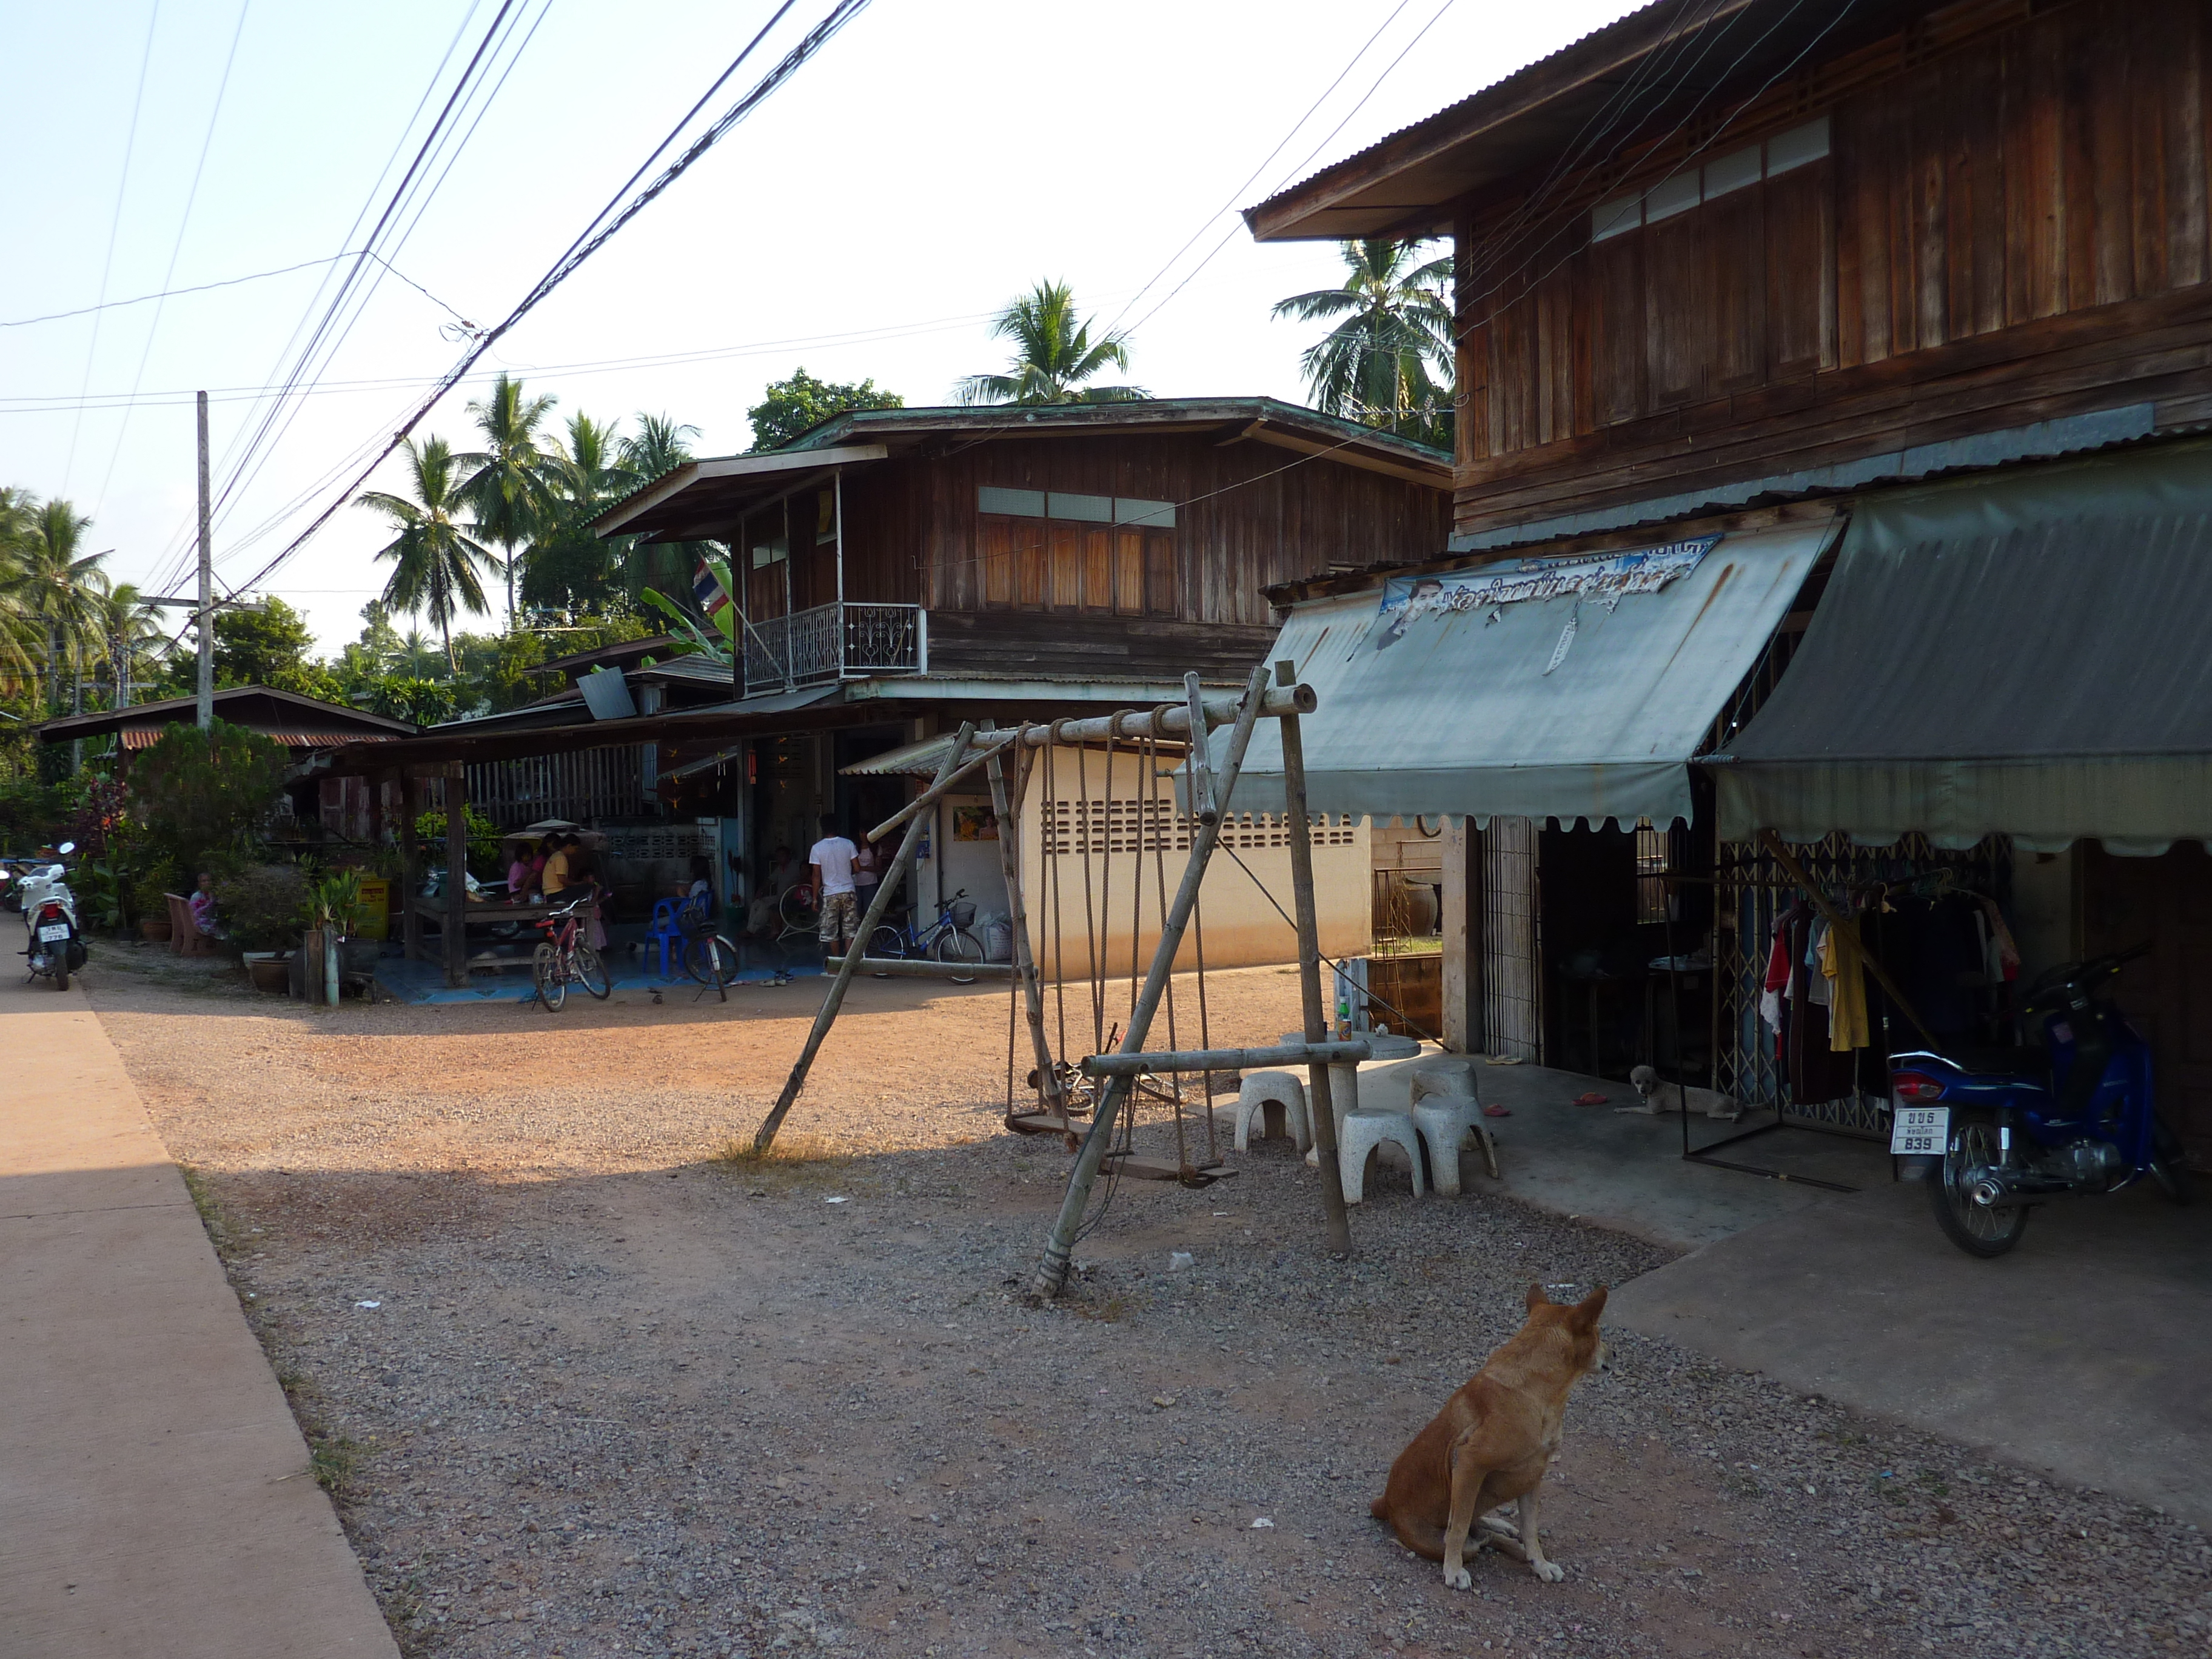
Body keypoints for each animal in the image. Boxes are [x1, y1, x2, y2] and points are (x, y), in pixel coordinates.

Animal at [1362, 1282, 1610, 1592]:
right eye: (1599, 1334)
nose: (1613, 1355)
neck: (1536, 1393)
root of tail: (1386, 1503)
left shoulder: (1533, 1476)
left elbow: (1531, 1529)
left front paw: (1540, 1564)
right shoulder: (1470, 1463)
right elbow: (1457, 1528)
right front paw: (1453, 1570)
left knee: (1489, 1533)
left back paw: (1506, 1532)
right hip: (1451, 1529)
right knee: (1473, 1538)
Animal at [1619, 1070, 1734, 1124]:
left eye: (1647, 1081)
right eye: (1638, 1082)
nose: (1643, 1090)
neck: (1655, 1086)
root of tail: (1732, 1099)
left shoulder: (1654, 1107)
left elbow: (1636, 1109)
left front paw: (1622, 1109)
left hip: (1716, 1109)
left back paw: (1735, 1116)